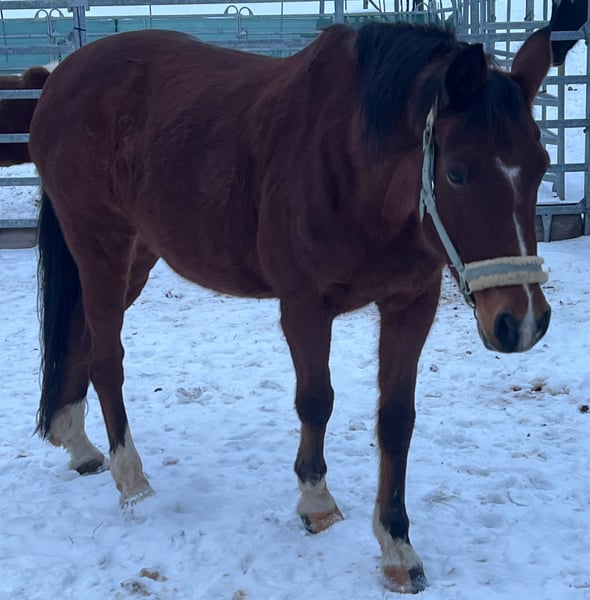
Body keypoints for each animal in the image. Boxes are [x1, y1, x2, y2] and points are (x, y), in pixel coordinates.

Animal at [30, 22, 552, 593]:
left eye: (541, 167)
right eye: (457, 174)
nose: (522, 321)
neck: (353, 164)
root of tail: (61, 77)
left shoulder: (412, 304)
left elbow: (396, 419)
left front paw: (397, 547)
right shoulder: (304, 307)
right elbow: (316, 400)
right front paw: (316, 502)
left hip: (138, 255)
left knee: (79, 335)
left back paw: (78, 444)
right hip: (102, 245)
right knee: (107, 357)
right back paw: (132, 479)